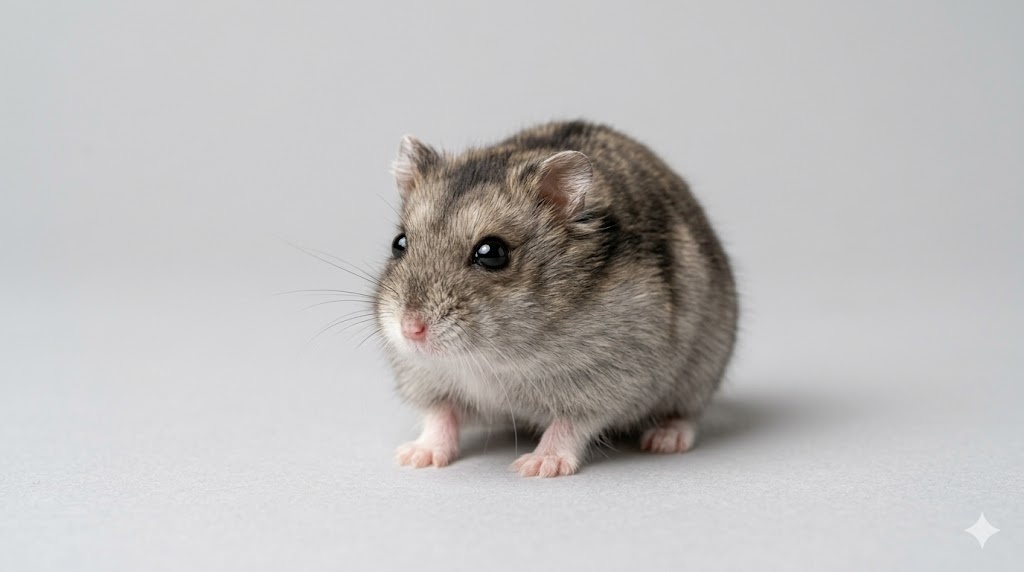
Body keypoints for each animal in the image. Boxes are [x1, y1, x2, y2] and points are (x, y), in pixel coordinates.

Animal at [374, 120, 738, 477]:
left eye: (492, 253)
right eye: (399, 243)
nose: (411, 330)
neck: (488, 360)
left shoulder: (605, 380)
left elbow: (569, 424)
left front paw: (537, 466)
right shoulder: (427, 378)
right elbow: (441, 415)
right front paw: (414, 457)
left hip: (700, 373)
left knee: (685, 413)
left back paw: (665, 440)